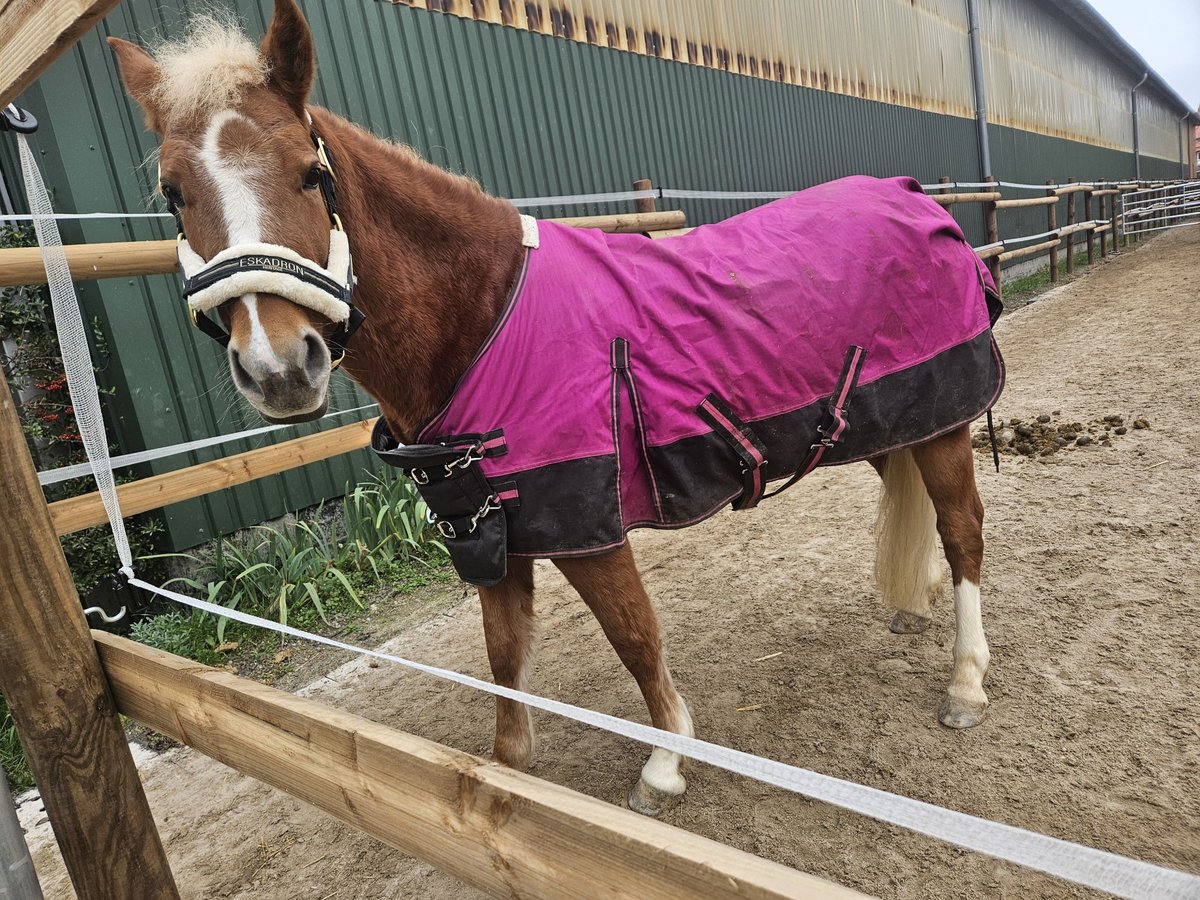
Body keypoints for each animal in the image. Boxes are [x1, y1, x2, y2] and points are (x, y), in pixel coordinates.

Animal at [109, 0, 999, 816]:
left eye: (308, 172)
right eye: (173, 194)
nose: (278, 366)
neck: (487, 321)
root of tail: (913, 197)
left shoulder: (586, 528)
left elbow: (635, 637)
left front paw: (666, 764)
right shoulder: (489, 535)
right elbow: (506, 660)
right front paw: (507, 782)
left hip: (948, 422)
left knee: (964, 533)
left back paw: (964, 682)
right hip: (892, 420)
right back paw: (914, 609)